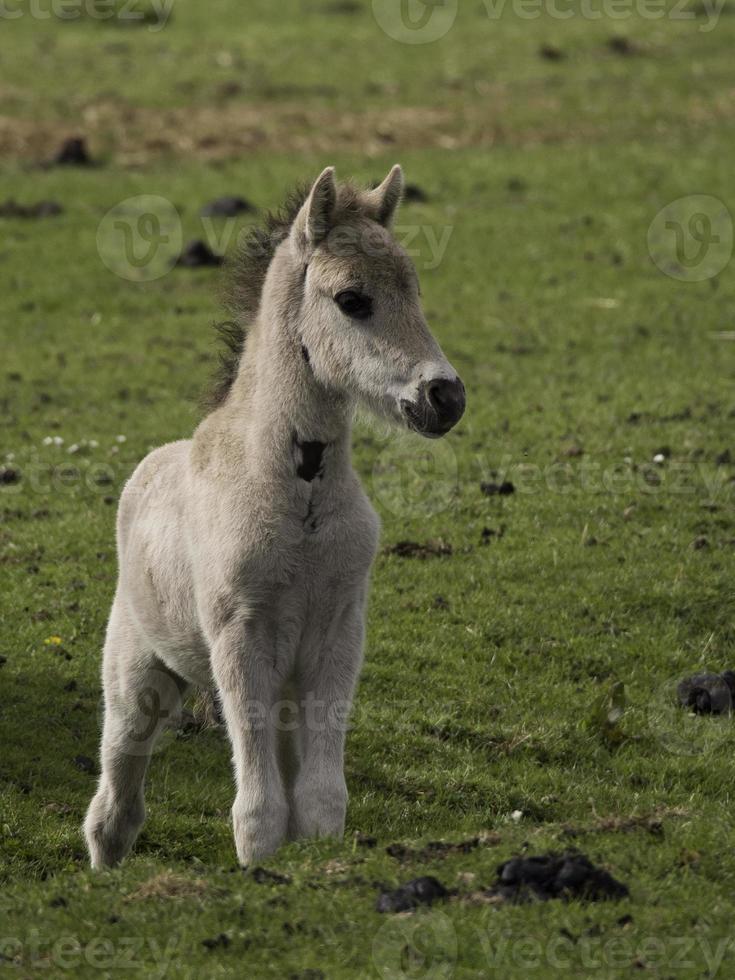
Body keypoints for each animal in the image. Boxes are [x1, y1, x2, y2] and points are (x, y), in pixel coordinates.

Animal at [85, 167, 466, 864]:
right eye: (352, 299)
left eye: (414, 293)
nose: (444, 397)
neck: (299, 497)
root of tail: (145, 471)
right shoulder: (242, 637)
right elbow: (260, 809)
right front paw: (259, 864)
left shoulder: (339, 633)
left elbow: (318, 798)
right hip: (136, 675)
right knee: (116, 794)